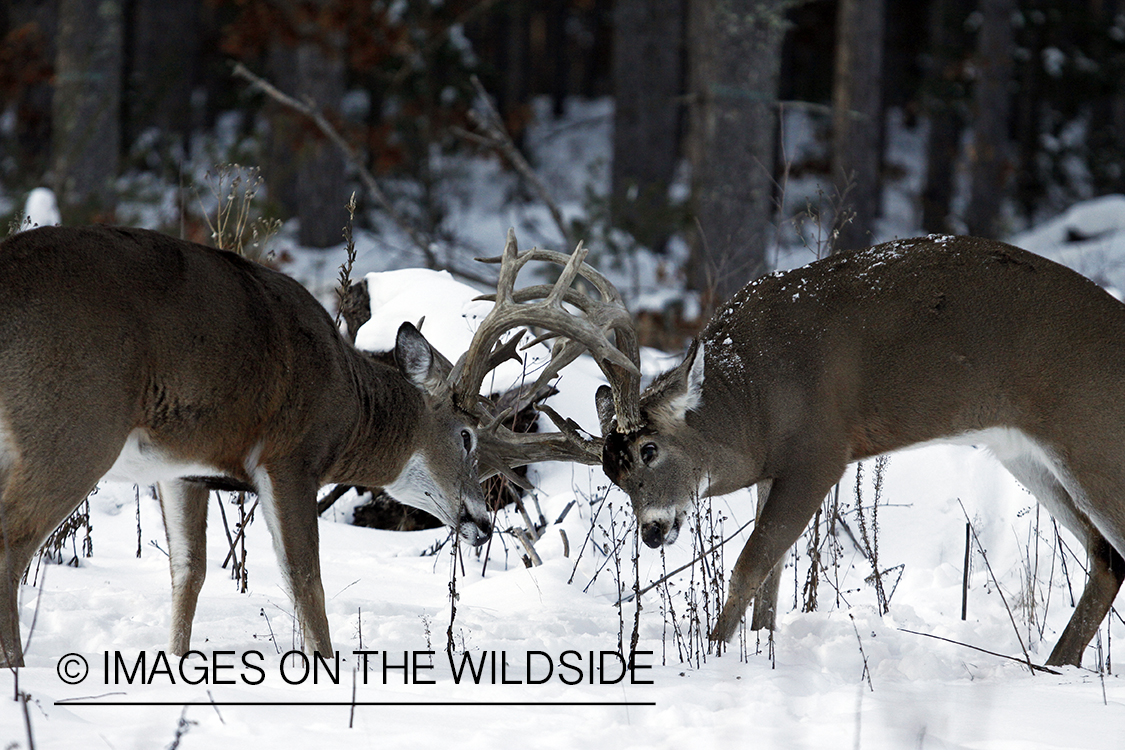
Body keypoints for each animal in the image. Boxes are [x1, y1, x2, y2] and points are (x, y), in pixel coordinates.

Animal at [0, 224, 630, 670]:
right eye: (466, 435)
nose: (483, 520)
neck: (346, 402)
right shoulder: (291, 455)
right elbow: (305, 578)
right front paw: (322, 670)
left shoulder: (184, 467)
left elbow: (188, 573)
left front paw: (175, 667)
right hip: (73, 424)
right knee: (13, 542)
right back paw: (19, 676)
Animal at [537, 232, 1125, 670]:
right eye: (611, 475)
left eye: (650, 449)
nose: (653, 532)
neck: (755, 400)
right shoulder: (775, 470)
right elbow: (773, 576)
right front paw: (759, 648)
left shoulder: (820, 452)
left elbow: (751, 563)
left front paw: (713, 652)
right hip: (1027, 453)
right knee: (1107, 557)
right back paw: (1055, 666)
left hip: (1091, 435)